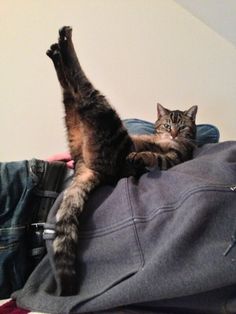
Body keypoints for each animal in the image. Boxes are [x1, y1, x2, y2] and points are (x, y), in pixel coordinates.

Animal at [46, 25, 197, 296]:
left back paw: (64, 43)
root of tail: (88, 167)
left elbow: (153, 156)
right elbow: (149, 143)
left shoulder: (174, 158)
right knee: (70, 93)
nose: (173, 133)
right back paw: (57, 51)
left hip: (100, 111)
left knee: (80, 88)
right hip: (79, 120)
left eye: (182, 126)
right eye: (167, 124)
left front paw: (141, 155)